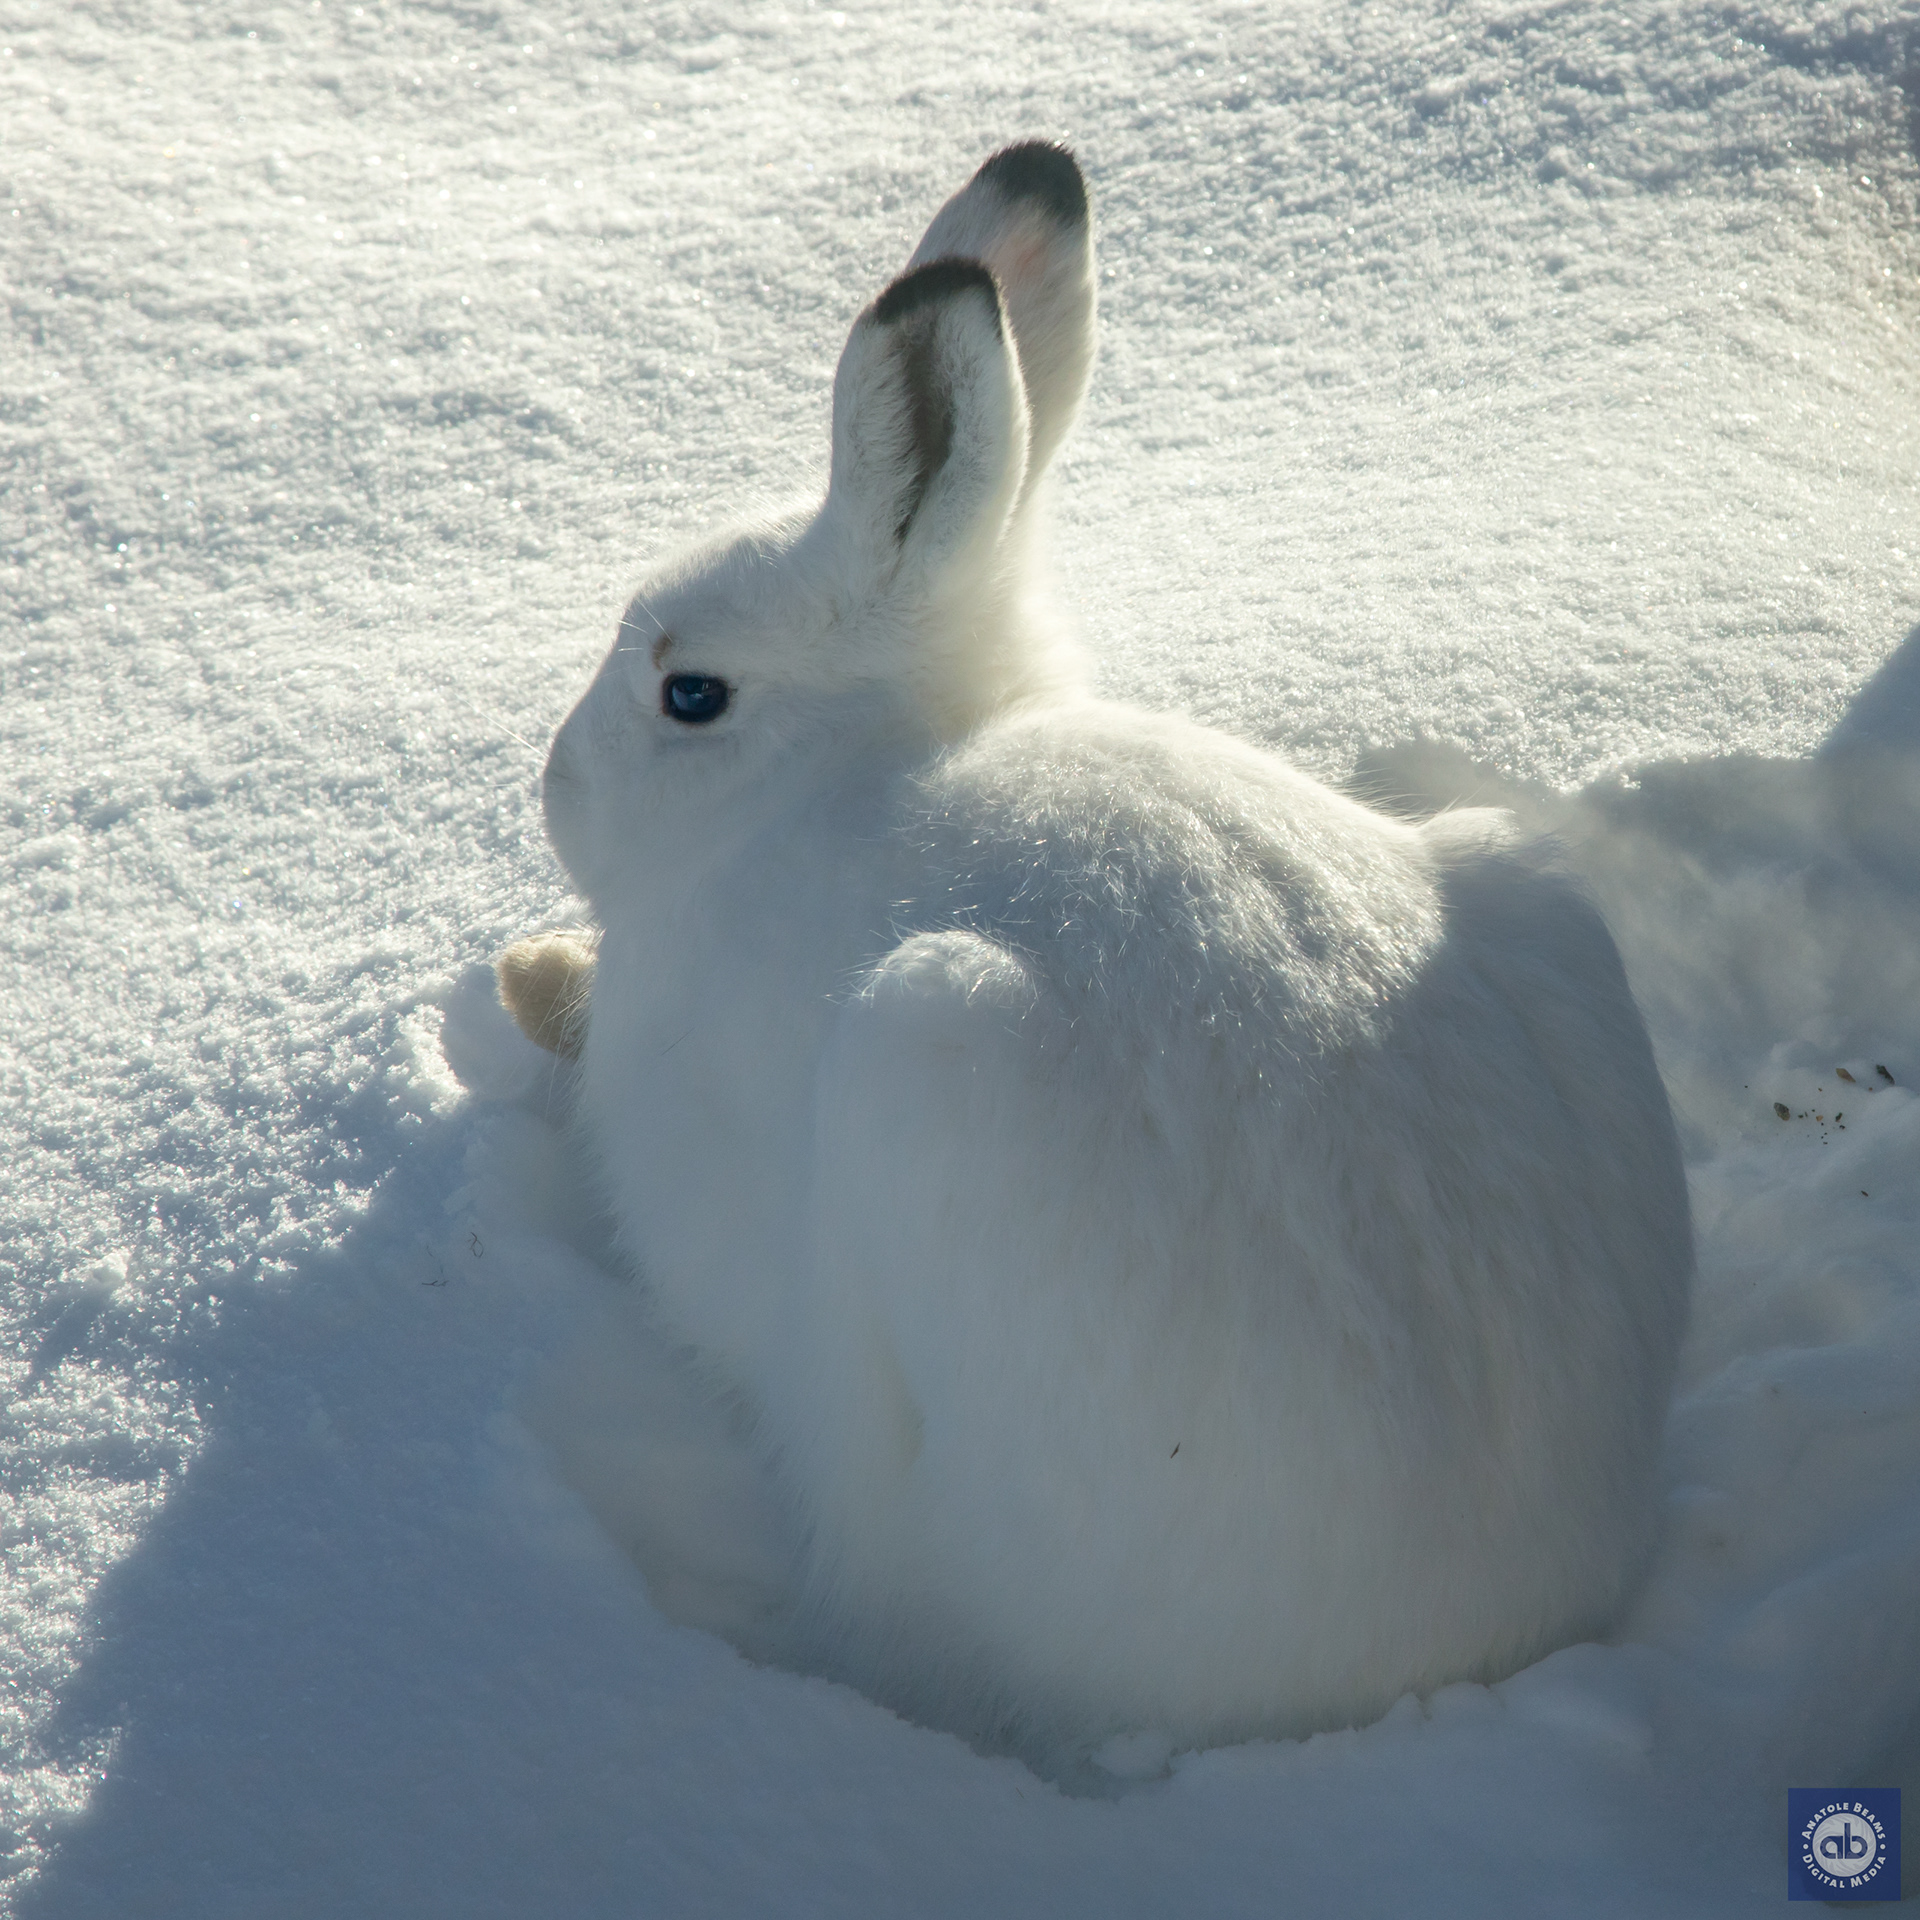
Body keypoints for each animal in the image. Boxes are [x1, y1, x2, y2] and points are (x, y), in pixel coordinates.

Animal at [501, 141, 1693, 1763]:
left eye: (692, 693)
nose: (553, 782)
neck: (849, 777)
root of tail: (1426, 1660)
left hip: (926, 1074)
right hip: (1538, 896)